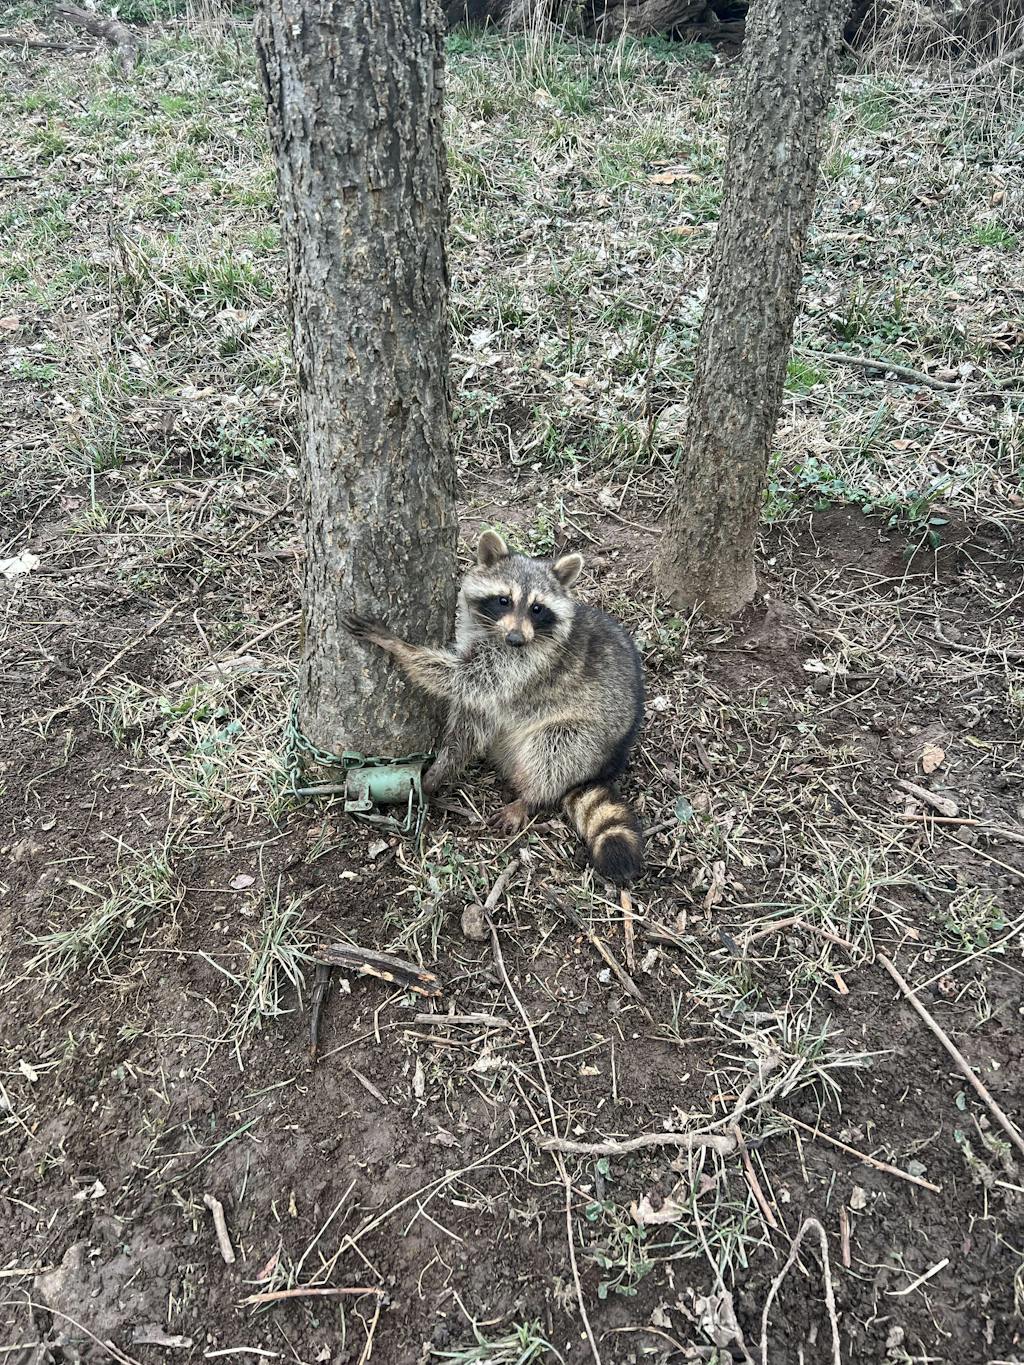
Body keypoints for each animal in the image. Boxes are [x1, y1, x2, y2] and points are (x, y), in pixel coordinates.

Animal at [342, 529, 645, 883]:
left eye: (537, 608)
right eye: (504, 601)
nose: (516, 639)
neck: (497, 636)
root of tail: (607, 764)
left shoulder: (521, 669)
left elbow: (460, 679)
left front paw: (398, 645)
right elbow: (469, 719)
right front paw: (441, 767)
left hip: (590, 734)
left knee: (554, 750)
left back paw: (532, 796)